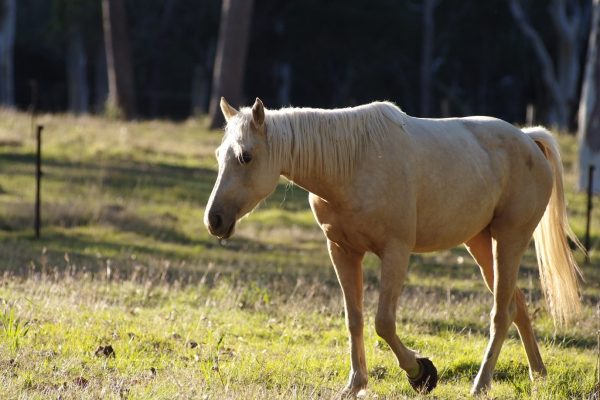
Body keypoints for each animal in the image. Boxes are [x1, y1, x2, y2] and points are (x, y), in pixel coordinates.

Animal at [204, 97, 583, 396]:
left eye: (245, 156)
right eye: (219, 155)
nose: (214, 219)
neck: (352, 163)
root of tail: (529, 140)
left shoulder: (395, 252)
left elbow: (383, 322)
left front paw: (421, 373)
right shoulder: (342, 251)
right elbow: (354, 318)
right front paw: (355, 384)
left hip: (509, 240)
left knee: (501, 313)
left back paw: (481, 384)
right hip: (481, 245)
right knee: (517, 306)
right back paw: (539, 376)